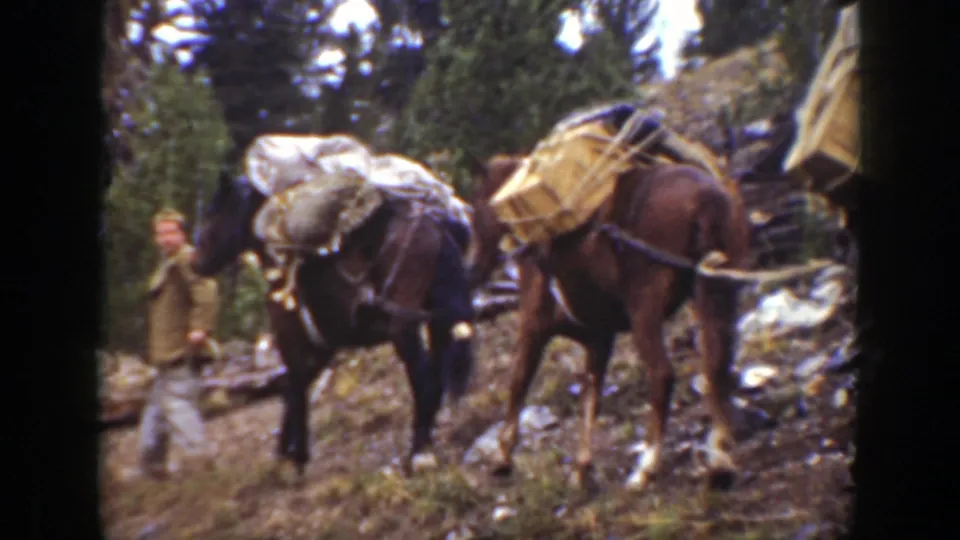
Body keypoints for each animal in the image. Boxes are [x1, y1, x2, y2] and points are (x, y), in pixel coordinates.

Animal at [191, 170, 477, 479]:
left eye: (215, 212)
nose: (196, 263)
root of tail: (439, 225)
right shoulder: (323, 347)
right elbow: (294, 390)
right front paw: (286, 453)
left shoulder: (291, 341)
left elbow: (296, 389)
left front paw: (297, 458)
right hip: (438, 325)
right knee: (437, 380)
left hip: (405, 330)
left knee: (424, 382)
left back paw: (418, 454)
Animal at [464, 124, 752, 492]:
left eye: (475, 206)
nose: (473, 270)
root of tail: (707, 198)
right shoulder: (598, 339)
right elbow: (591, 396)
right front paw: (582, 469)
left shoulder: (534, 325)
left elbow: (518, 383)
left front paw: (503, 457)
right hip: (715, 296)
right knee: (716, 367)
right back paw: (720, 459)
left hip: (645, 311)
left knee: (663, 374)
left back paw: (646, 467)